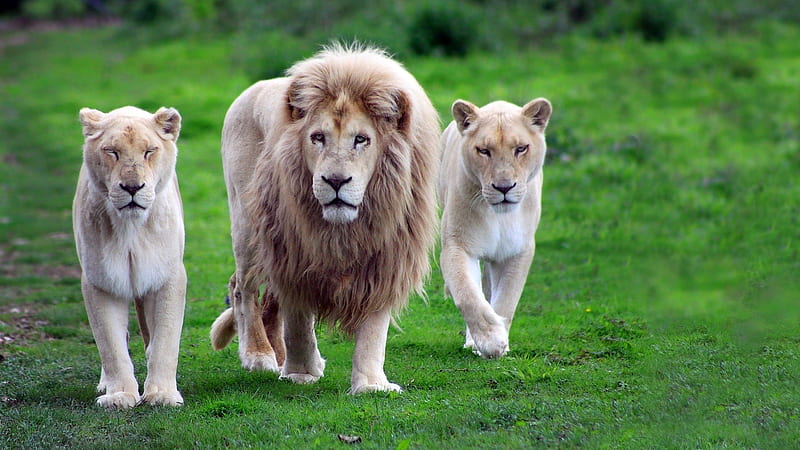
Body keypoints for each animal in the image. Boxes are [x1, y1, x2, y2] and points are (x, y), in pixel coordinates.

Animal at [73, 106, 186, 408]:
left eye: (149, 151)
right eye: (112, 152)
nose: (132, 187)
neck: (131, 228)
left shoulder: (167, 277)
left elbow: (165, 340)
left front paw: (162, 394)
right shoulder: (101, 281)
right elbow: (110, 344)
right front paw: (120, 395)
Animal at [209, 44, 440, 392]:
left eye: (361, 139)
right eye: (317, 137)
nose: (335, 181)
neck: (344, 229)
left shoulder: (386, 259)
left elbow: (374, 329)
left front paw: (371, 385)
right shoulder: (293, 254)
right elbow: (298, 322)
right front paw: (301, 373)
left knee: (268, 300)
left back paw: (280, 355)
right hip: (249, 226)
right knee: (243, 289)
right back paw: (259, 355)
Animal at [438, 97, 552, 358]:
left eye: (521, 148)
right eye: (483, 150)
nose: (504, 187)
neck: (498, 217)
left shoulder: (518, 251)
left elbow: (507, 299)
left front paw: (501, 342)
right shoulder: (457, 246)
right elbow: (468, 295)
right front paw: (490, 341)